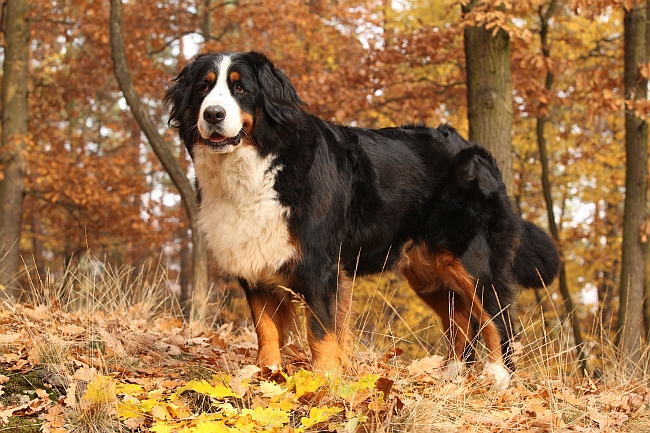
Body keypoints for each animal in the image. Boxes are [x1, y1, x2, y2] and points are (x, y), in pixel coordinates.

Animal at [163, 51, 556, 388]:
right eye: (203, 88)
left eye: (240, 87)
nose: (213, 114)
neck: (259, 167)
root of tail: (476, 150)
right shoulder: (256, 265)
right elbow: (267, 332)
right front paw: (268, 379)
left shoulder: (320, 267)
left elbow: (320, 334)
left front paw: (323, 383)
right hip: (428, 272)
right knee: (459, 320)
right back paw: (453, 376)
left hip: (469, 258)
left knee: (496, 316)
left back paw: (499, 377)